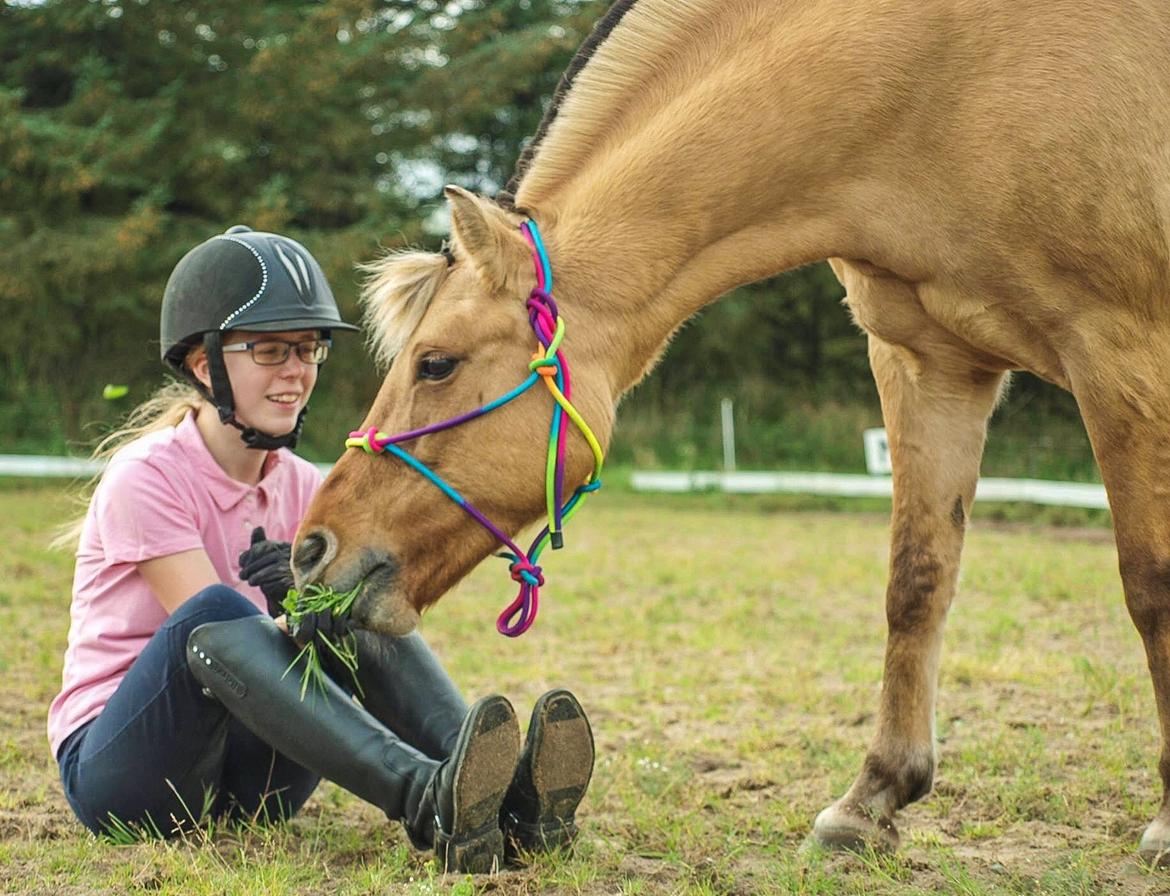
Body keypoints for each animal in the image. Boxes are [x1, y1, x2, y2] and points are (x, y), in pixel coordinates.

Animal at [294, 0, 1170, 865]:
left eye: (436, 363)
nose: (310, 548)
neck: (941, 78)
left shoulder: (1120, 351)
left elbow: (1149, 583)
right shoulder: (929, 364)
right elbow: (916, 583)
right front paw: (871, 802)